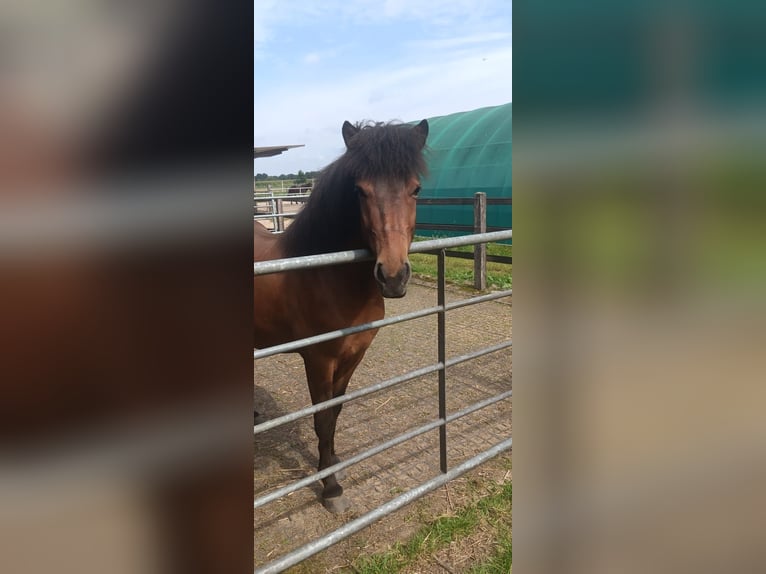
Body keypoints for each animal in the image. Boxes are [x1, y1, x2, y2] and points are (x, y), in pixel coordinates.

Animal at [254, 119, 429, 513]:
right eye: (360, 191)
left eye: (415, 189)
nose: (392, 277)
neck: (326, 273)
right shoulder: (319, 360)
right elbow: (322, 420)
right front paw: (330, 488)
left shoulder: (353, 356)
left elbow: (335, 413)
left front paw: (332, 466)